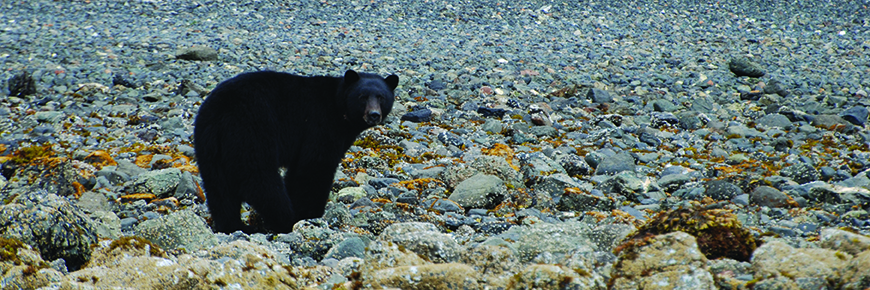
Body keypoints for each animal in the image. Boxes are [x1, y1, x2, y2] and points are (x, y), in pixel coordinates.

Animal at [194, 70, 398, 233]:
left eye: (381, 97)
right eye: (362, 96)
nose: (374, 115)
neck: (338, 108)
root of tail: (220, 112)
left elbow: (297, 171)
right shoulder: (320, 125)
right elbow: (315, 167)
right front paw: (310, 213)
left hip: (209, 143)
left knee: (218, 187)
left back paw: (234, 226)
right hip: (250, 131)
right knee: (258, 178)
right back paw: (283, 219)